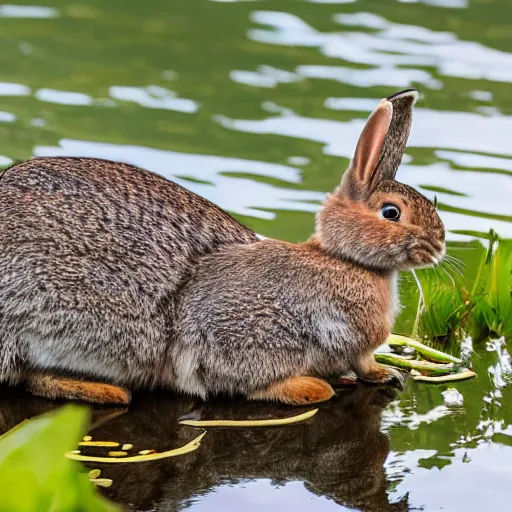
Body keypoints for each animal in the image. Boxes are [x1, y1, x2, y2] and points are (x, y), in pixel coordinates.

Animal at [0, 89, 444, 408]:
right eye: (391, 212)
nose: (440, 244)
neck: (342, 261)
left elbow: (364, 365)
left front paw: (384, 374)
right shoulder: (236, 332)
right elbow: (244, 378)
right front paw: (310, 388)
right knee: (29, 376)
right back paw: (107, 391)